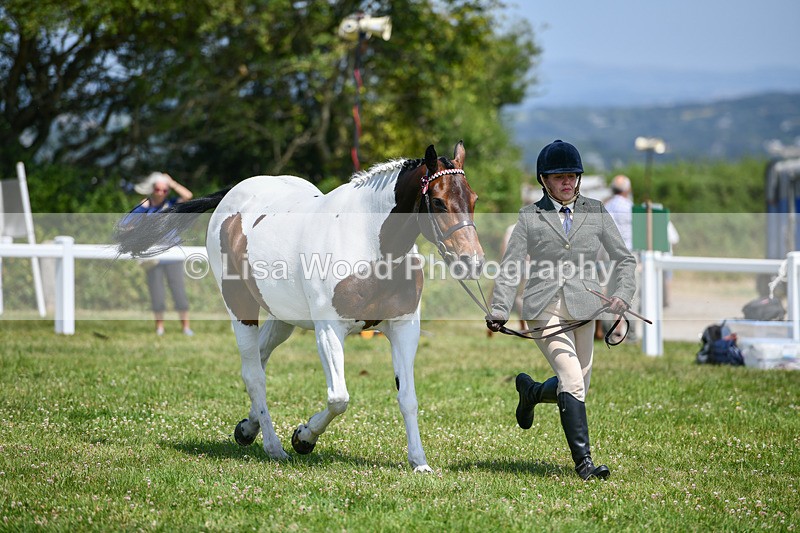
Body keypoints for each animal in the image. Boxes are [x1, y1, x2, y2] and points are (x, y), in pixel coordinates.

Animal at [116, 142, 484, 472]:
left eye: (473, 199)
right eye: (438, 201)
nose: (473, 261)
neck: (368, 241)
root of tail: (233, 196)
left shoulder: (404, 327)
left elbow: (408, 398)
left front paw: (419, 462)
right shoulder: (329, 330)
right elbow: (339, 398)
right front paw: (303, 437)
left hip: (283, 318)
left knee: (259, 359)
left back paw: (248, 428)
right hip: (240, 307)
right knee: (254, 374)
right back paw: (274, 446)